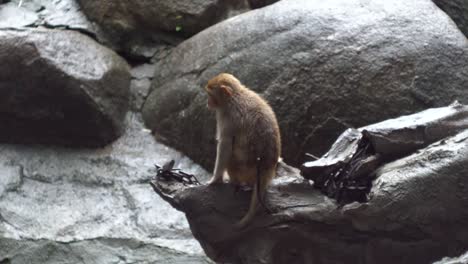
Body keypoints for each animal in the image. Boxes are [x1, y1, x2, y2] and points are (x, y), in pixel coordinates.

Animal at [203, 72, 280, 229]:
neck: (235, 96)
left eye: (210, 94)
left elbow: (225, 145)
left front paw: (215, 179)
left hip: (242, 169)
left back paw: (235, 182)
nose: (207, 102)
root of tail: (264, 170)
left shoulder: (227, 117)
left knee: (229, 158)